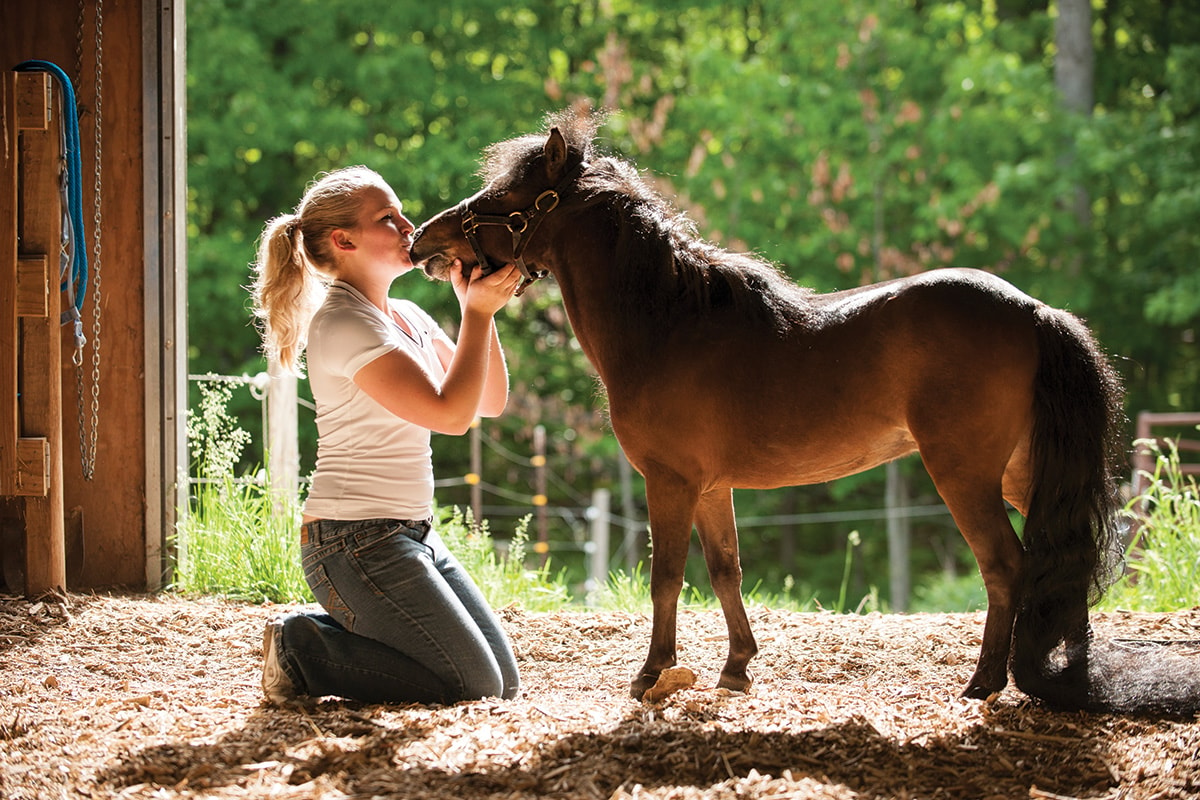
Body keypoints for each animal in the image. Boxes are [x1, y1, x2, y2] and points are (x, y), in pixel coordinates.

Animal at [412, 110, 1200, 714]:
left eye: (506, 192)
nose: (424, 238)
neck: (668, 322)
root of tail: (1034, 311)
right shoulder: (713, 487)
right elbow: (726, 570)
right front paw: (736, 669)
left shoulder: (670, 482)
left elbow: (666, 576)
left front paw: (651, 675)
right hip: (1018, 474)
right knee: (1052, 562)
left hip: (964, 474)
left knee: (1006, 567)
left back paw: (982, 686)